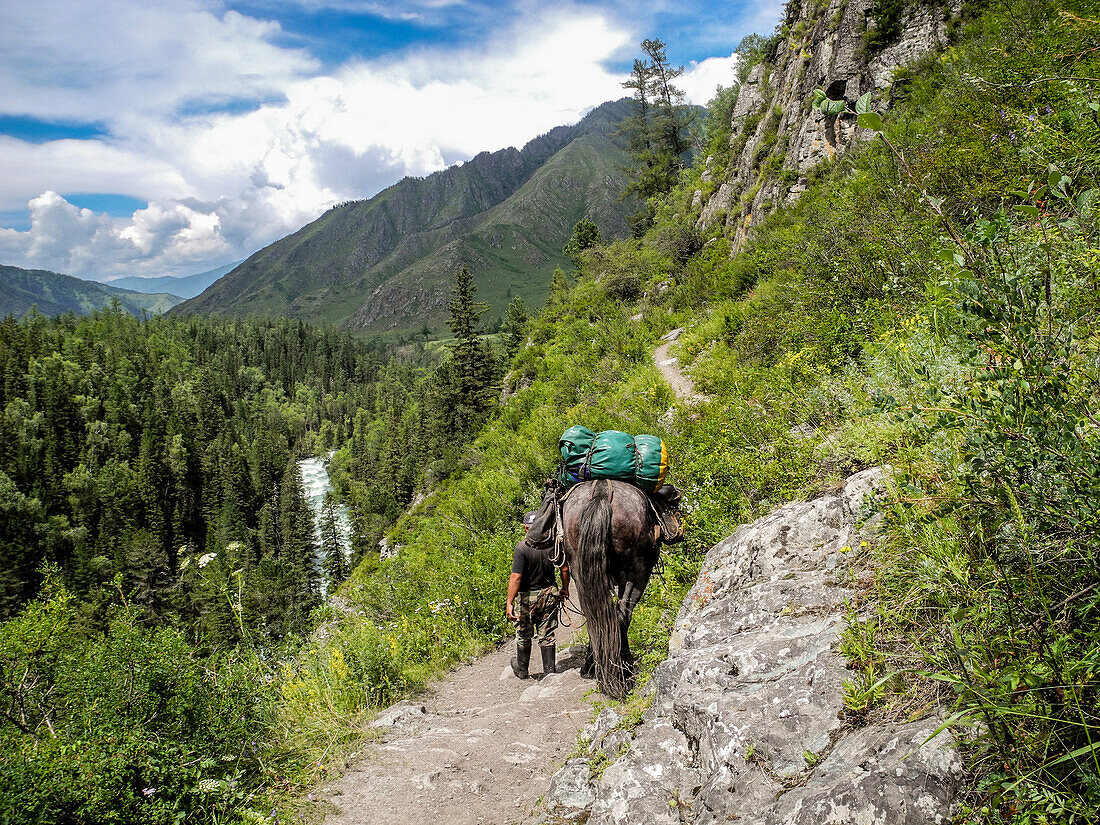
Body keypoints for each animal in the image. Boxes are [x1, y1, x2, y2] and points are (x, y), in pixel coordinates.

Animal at [558, 481, 660, 699]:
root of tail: (602, 491)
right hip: (638, 572)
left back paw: (596, 667)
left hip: (581, 574)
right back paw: (624, 672)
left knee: (595, 616)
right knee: (622, 615)